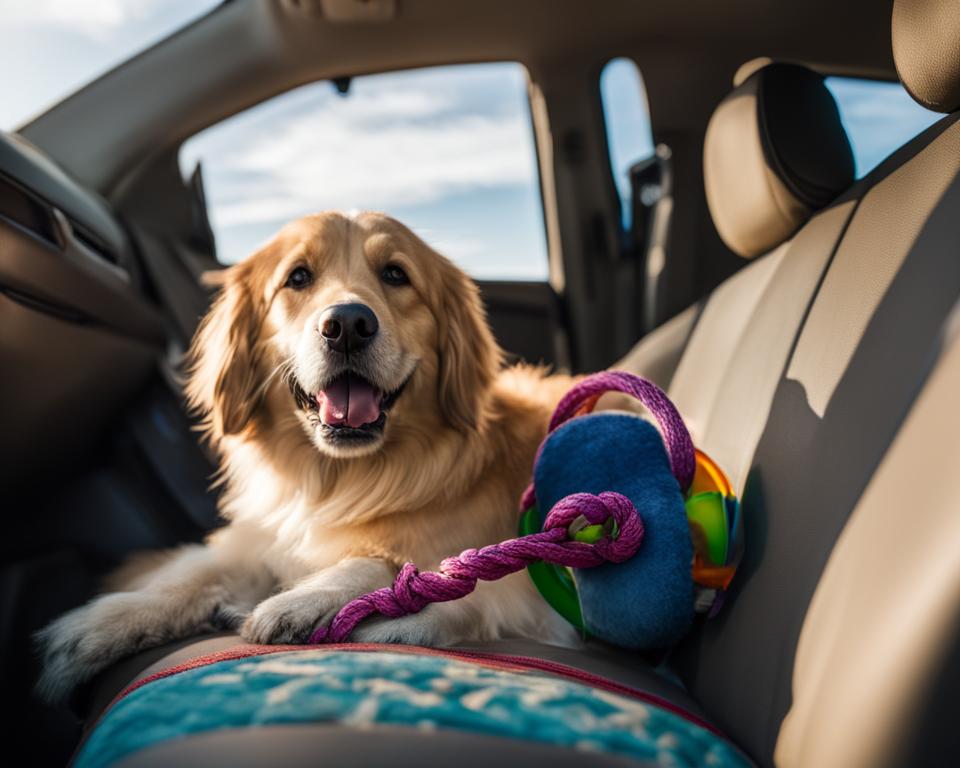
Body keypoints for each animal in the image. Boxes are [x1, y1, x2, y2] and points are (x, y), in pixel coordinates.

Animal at [35, 210, 576, 704]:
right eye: (298, 277)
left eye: (395, 274)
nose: (348, 324)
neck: (338, 478)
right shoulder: (261, 538)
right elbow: (194, 572)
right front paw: (98, 623)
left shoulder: (526, 583)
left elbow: (393, 564)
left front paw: (307, 600)